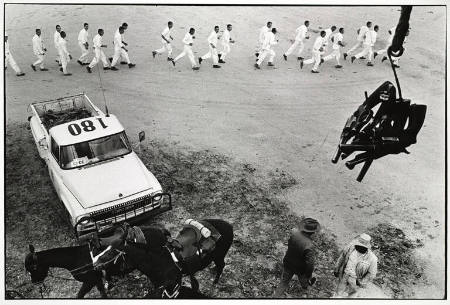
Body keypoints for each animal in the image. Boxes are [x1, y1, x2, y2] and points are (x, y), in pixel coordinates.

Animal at [24, 223, 171, 296]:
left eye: (34, 267)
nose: (35, 283)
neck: (76, 259)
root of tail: (162, 231)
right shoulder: (97, 281)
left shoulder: (89, 282)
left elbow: (80, 295)